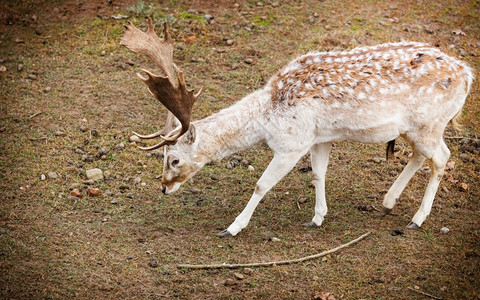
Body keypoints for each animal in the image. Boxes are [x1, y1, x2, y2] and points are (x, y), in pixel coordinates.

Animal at [120, 17, 472, 238]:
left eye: (174, 159)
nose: (164, 187)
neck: (266, 118)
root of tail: (468, 74)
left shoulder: (292, 144)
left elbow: (261, 185)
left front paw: (232, 228)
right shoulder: (318, 138)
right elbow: (318, 174)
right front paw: (316, 218)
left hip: (430, 123)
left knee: (442, 156)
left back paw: (416, 219)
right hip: (416, 129)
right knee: (421, 155)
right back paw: (388, 202)